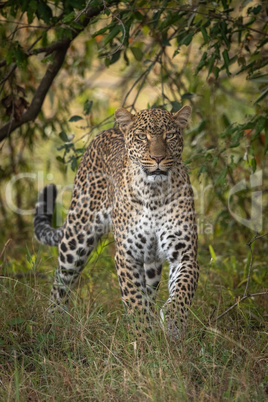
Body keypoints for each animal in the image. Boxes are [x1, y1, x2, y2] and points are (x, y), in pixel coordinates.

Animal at [34, 105, 199, 338]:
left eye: (170, 135)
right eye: (142, 136)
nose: (158, 157)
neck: (154, 193)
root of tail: (106, 131)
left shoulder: (184, 253)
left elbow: (182, 291)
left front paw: (172, 322)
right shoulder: (126, 255)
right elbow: (135, 300)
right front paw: (142, 337)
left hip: (151, 263)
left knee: (149, 290)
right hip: (77, 235)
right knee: (61, 280)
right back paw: (52, 323)